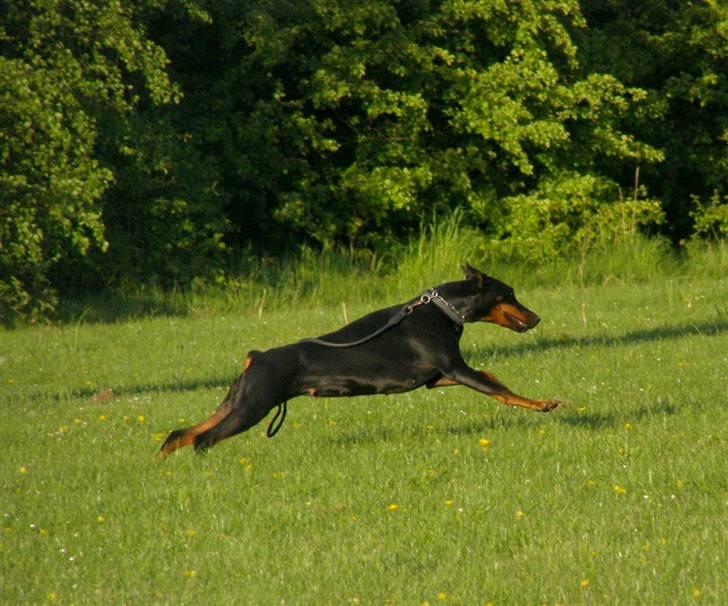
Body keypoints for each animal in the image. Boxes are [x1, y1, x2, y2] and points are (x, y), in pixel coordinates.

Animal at [158, 266, 556, 460]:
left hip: (237, 401)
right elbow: (502, 392)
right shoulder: (453, 367)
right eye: (509, 294)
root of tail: (255, 358)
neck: (443, 311)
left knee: (180, 433)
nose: (537, 317)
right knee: (203, 439)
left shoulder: (437, 376)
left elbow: (493, 379)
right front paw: (545, 403)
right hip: (253, 406)